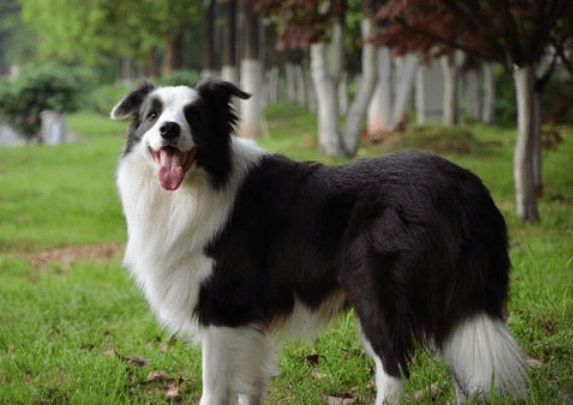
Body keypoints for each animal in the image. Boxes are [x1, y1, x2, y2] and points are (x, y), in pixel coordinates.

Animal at [109, 80, 524, 402]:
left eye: (194, 116)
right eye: (151, 116)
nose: (168, 130)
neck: (198, 186)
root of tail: (464, 187)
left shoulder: (224, 310)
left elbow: (215, 390)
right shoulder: (246, 324)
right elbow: (249, 387)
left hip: (375, 292)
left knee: (394, 369)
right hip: (452, 298)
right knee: (463, 372)